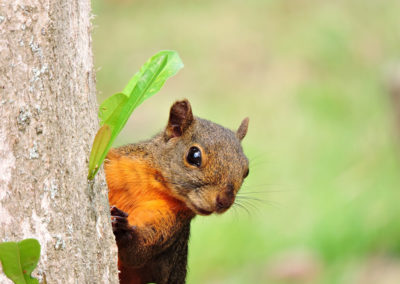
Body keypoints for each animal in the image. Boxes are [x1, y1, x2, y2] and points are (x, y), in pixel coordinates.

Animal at [104, 98, 248, 282]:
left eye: (246, 171)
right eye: (194, 155)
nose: (225, 201)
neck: (153, 184)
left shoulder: (172, 223)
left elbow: (137, 253)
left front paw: (123, 229)